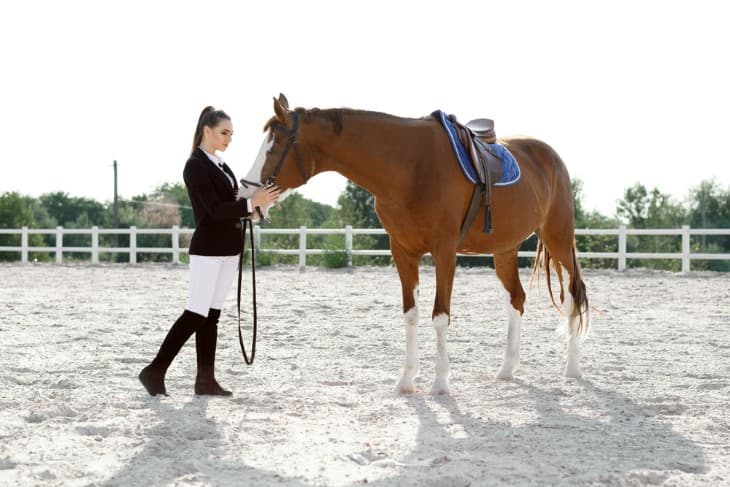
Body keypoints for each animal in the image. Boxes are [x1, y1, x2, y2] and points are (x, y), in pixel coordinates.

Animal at [241, 94, 589, 395]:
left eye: (276, 145)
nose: (248, 196)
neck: (409, 168)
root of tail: (551, 157)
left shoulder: (444, 251)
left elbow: (440, 315)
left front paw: (441, 383)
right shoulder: (403, 252)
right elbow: (411, 314)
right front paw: (407, 380)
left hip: (557, 238)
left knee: (574, 295)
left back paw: (572, 368)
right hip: (504, 250)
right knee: (516, 299)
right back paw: (507, 370)